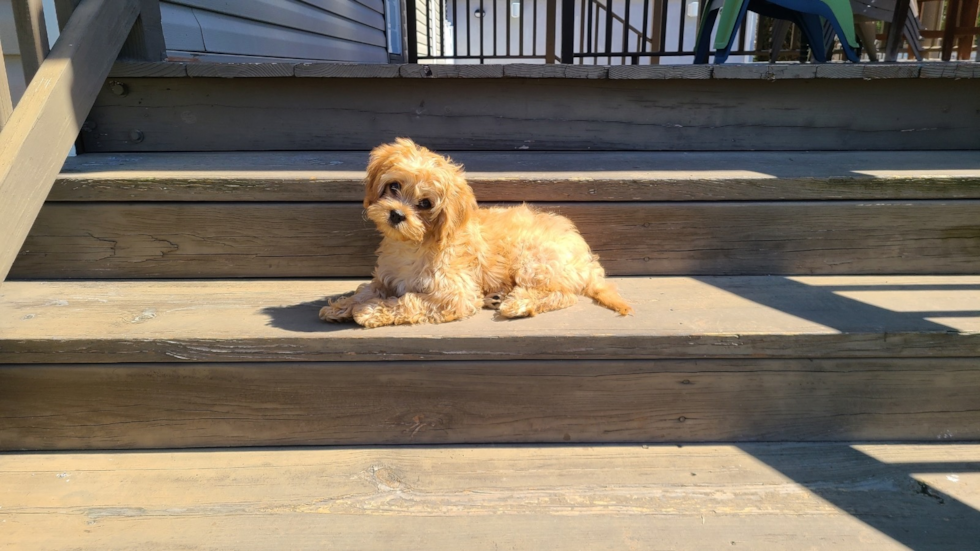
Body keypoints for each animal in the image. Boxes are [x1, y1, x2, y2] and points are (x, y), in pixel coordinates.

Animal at [318, 139, 632, 328]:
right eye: (393, 186)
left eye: (425, 204)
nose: (396, 214)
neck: (414, 245)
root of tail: (586, 259)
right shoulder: (386, 276)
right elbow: (365, 289)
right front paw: (342, 306)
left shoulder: (455, 293)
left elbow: (409, 301)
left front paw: (368, 311)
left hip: (533, 261)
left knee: (562, 295)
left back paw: (517, 304)